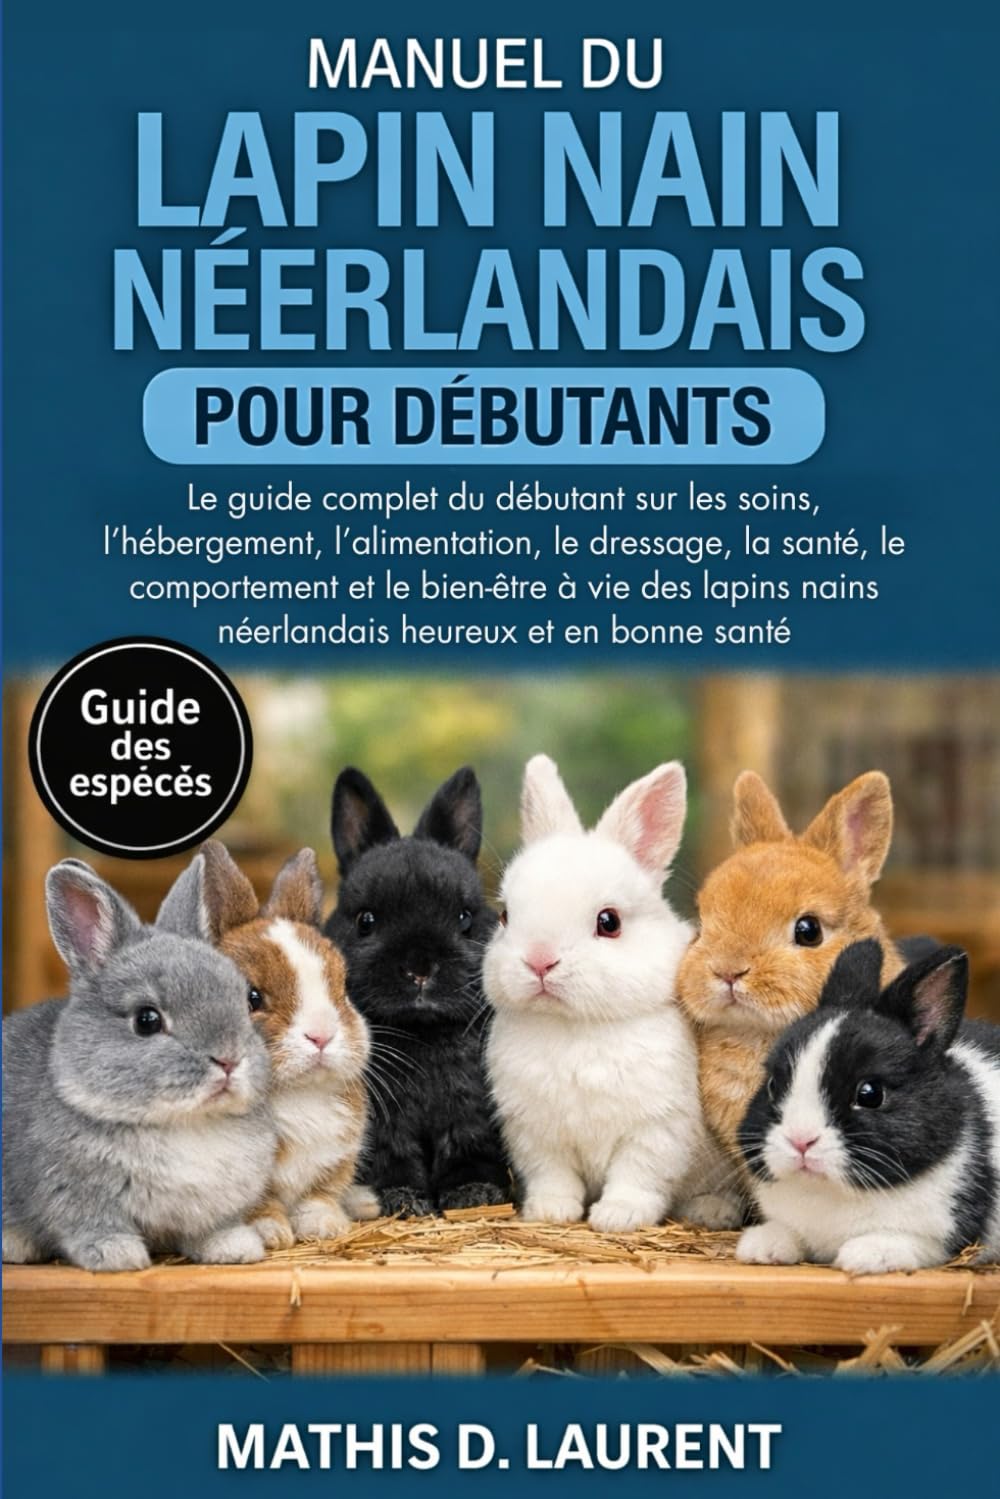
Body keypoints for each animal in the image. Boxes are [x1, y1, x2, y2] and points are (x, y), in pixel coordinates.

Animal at [2, 858, 275, 1272]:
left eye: (247, 1000)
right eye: (146, 1020)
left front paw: (234, 1246)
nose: (228, 1059)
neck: (183, 1123)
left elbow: (209, 1229)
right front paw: (117, 1254)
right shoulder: (77, 1197)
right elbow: (93, 1226)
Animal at [184, 840, 377, 1247]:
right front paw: (270, 1232)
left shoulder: (335, 1160)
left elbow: (319, 1194)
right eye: (252, 998)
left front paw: (324, 1225)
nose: (321, 1035)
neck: (296, 1094)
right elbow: (259, 1204)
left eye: (343, 986)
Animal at [325, 766, 510, 1217]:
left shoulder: (471, 1110)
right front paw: (404, 1200)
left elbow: (467, 1148)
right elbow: (393, 1158)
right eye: (366, 921)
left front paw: (473, 1194)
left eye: (464, 918)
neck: (422, 1032)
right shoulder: (382, 1121)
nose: (420, 968)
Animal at [483, 754, 714, 1234]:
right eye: (505, 915)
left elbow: (638, 1175)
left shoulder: (658, 1127)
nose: (540, 961)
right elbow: (554, 1175)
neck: (577, 1028)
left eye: (609, 922)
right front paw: (550, 1211)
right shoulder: (536, 1135)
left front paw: (618, 1216)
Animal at [736, 939, 1000, 1273]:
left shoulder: (934, 1237)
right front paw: (761, 1247)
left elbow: (912, 1244)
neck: (831, 1192)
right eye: (773, 1084)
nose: (800, 1141)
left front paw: (865, 1255)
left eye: (870, 1094)